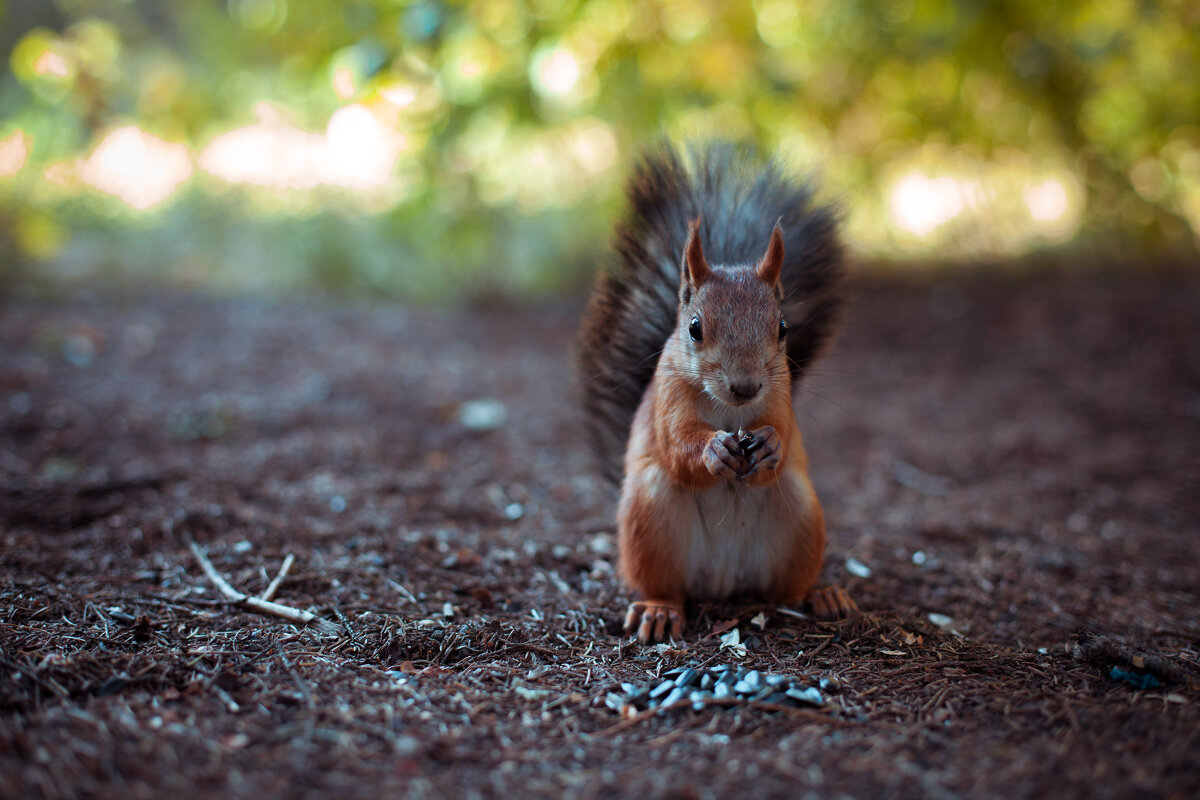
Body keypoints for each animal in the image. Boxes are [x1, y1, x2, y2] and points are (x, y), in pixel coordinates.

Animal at [577, 142, 857, 644]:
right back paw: (659, 610)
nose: (745, 386)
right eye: (694, 328)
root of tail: (724, 582)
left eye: (782, 328)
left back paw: (823, 596)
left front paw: (771, 444)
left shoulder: (780, 396)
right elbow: (676, 446)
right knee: (664, 584)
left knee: (788, 589)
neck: (729, 409)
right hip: (650, 518)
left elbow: (783, 433)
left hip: (801, 514)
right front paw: (712, 451)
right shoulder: (667, 400)